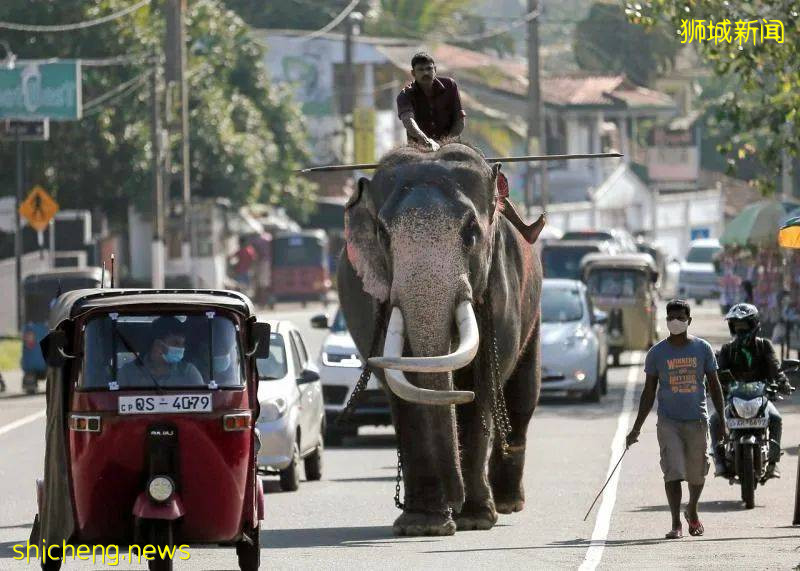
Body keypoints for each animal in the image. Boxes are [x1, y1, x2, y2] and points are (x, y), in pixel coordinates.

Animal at [334, 142, 540, 536]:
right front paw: (423, 526)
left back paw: (508, 504)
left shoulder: (502, 289)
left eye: (471, 231)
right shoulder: (375, 301)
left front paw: (474, 520)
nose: (454, 504)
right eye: (383, 234)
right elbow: (403, 388)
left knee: (523, 395)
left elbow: (480, 387)